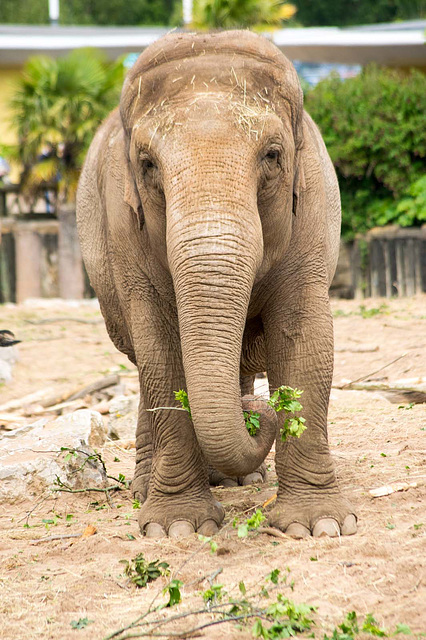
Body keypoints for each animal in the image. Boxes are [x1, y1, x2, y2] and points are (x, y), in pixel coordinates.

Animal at [76, 31, 356, 540]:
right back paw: (146, 487)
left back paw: (240, 478)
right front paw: (176, 529)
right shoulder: (125, 230)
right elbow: (161, 354)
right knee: (143, 366)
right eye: (147, 164)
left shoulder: (314, 212)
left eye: (272, 155)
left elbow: (306, 341)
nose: (260, 413)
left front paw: (320, 525)